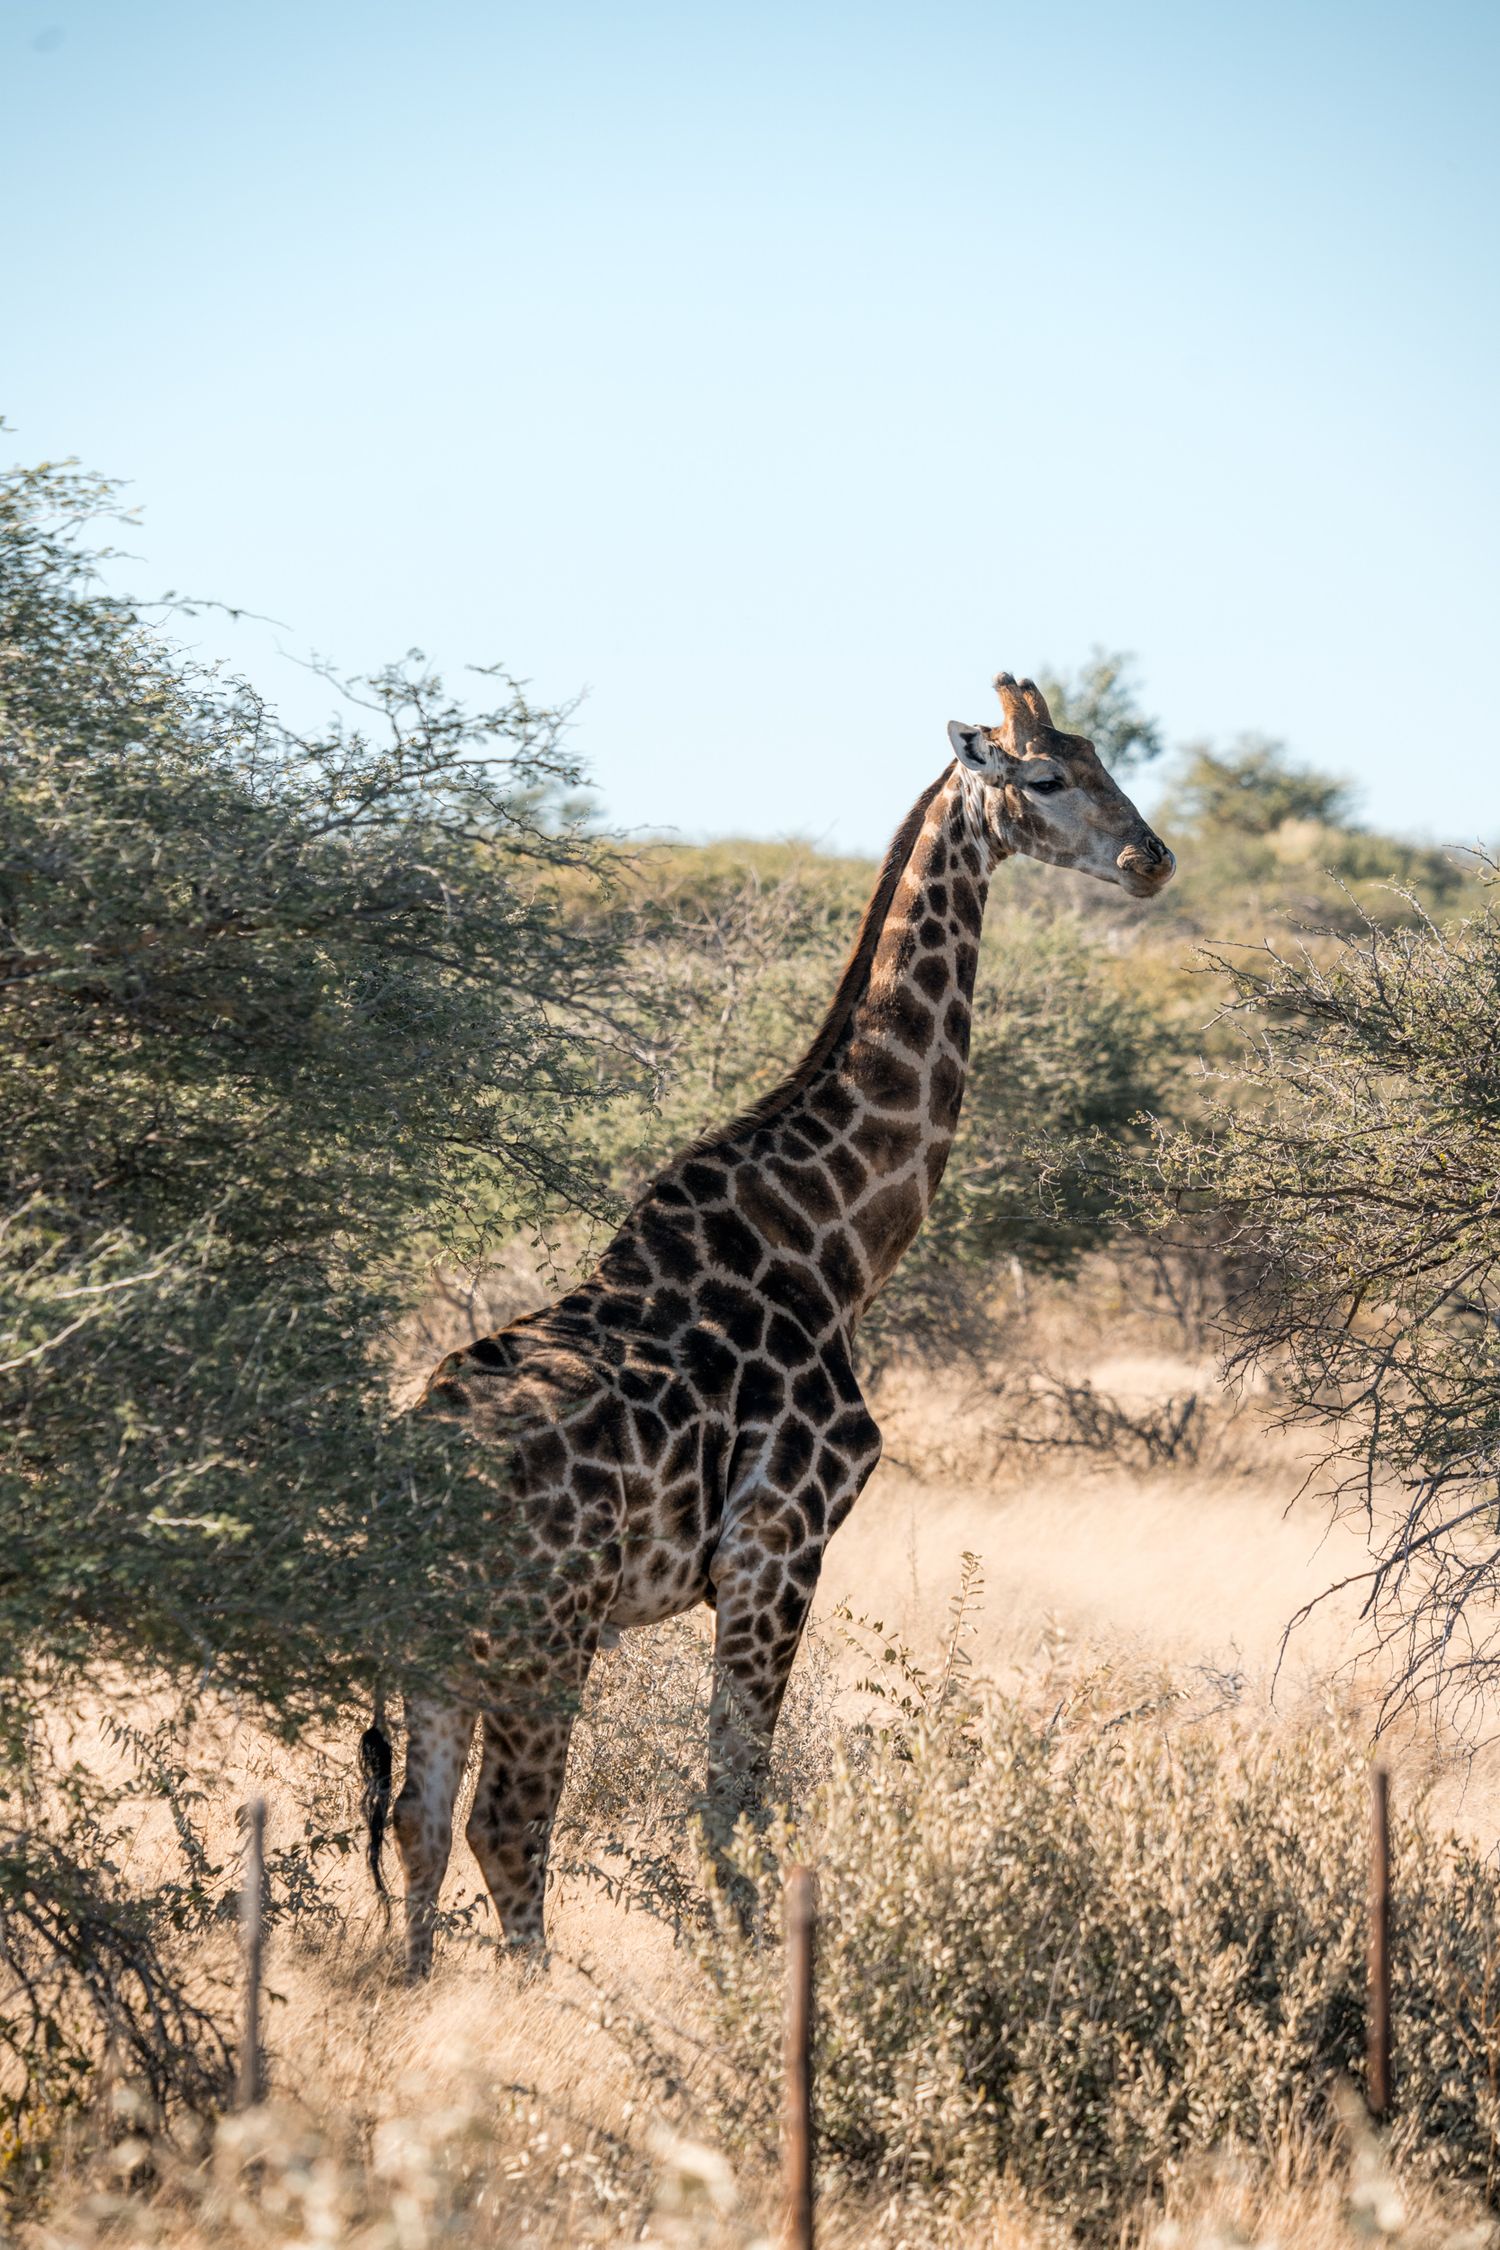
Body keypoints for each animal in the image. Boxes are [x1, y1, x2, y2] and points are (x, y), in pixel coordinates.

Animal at [373, 670, 1175, 1974]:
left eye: (1105, 756)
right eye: (1048, 776)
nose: (1150, 858)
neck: (831, 1246)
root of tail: (420, 1448)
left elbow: (731, 1798)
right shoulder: (779, 1547)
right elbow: (735, 1799)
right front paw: (753, 1979)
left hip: (438, 1634)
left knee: (422, 1820)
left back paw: (417, 1998)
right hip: (546, 1627)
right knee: (509, 1821)